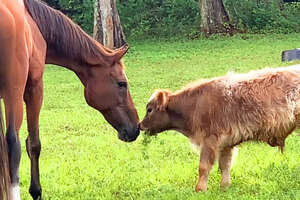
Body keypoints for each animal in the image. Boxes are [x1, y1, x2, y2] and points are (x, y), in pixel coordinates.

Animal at [0, 0, 140, 199]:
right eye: (122, 84)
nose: (136, 127)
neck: (33, 21)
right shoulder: (34, 89)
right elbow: (33, 144)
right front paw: (36, 191)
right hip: (14, 94)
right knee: (13, 144)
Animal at [140, 65, 300, 192]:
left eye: (150, 109)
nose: (140, 125)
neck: (195, 105)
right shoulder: (226, 143)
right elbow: (225, 165)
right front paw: (224, 186)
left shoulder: (210, 140)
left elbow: (204, 166)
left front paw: (200, 189)